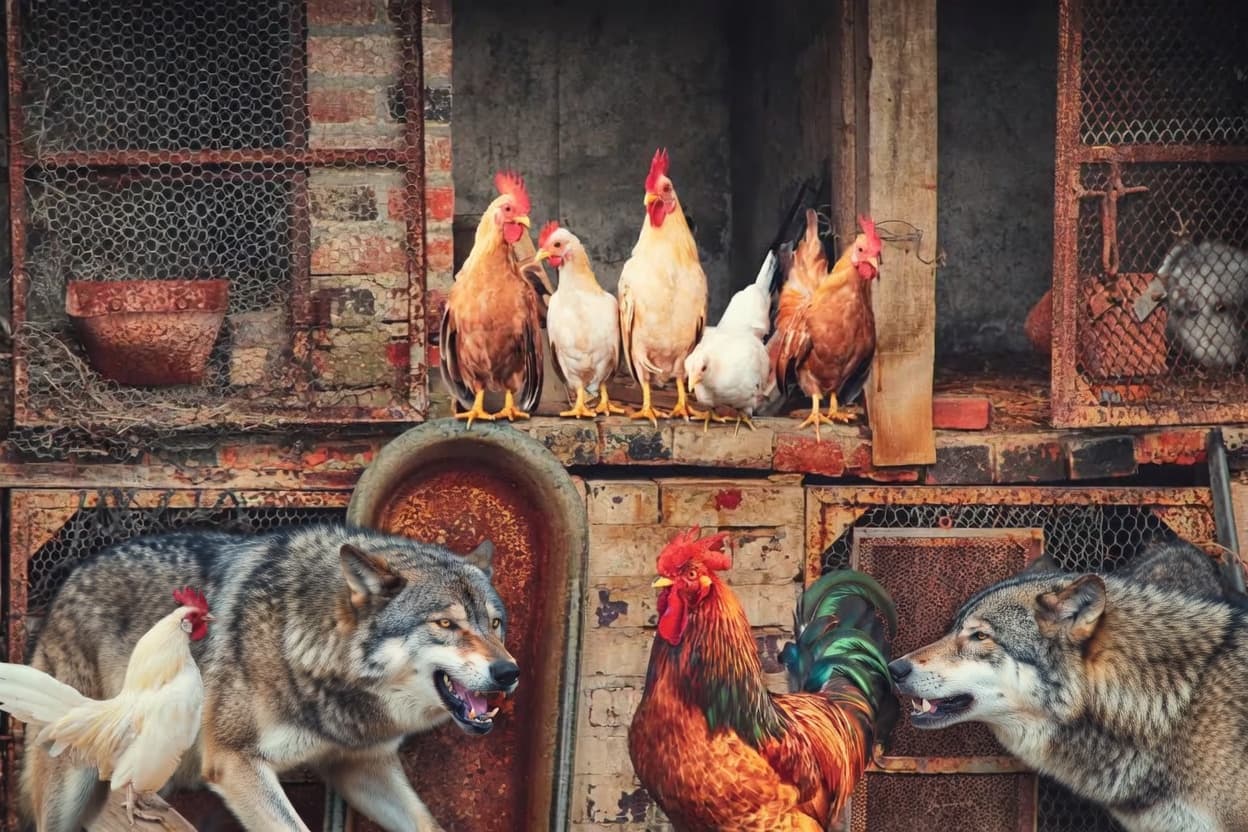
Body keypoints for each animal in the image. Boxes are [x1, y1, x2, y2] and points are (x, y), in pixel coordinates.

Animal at [20, 524, 518, 832]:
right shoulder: (235, 764)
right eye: (446, 624)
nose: (509, 672)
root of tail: (68, 579)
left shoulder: (362, 766)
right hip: (75, 783)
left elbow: (426, 821)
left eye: (495, 624)